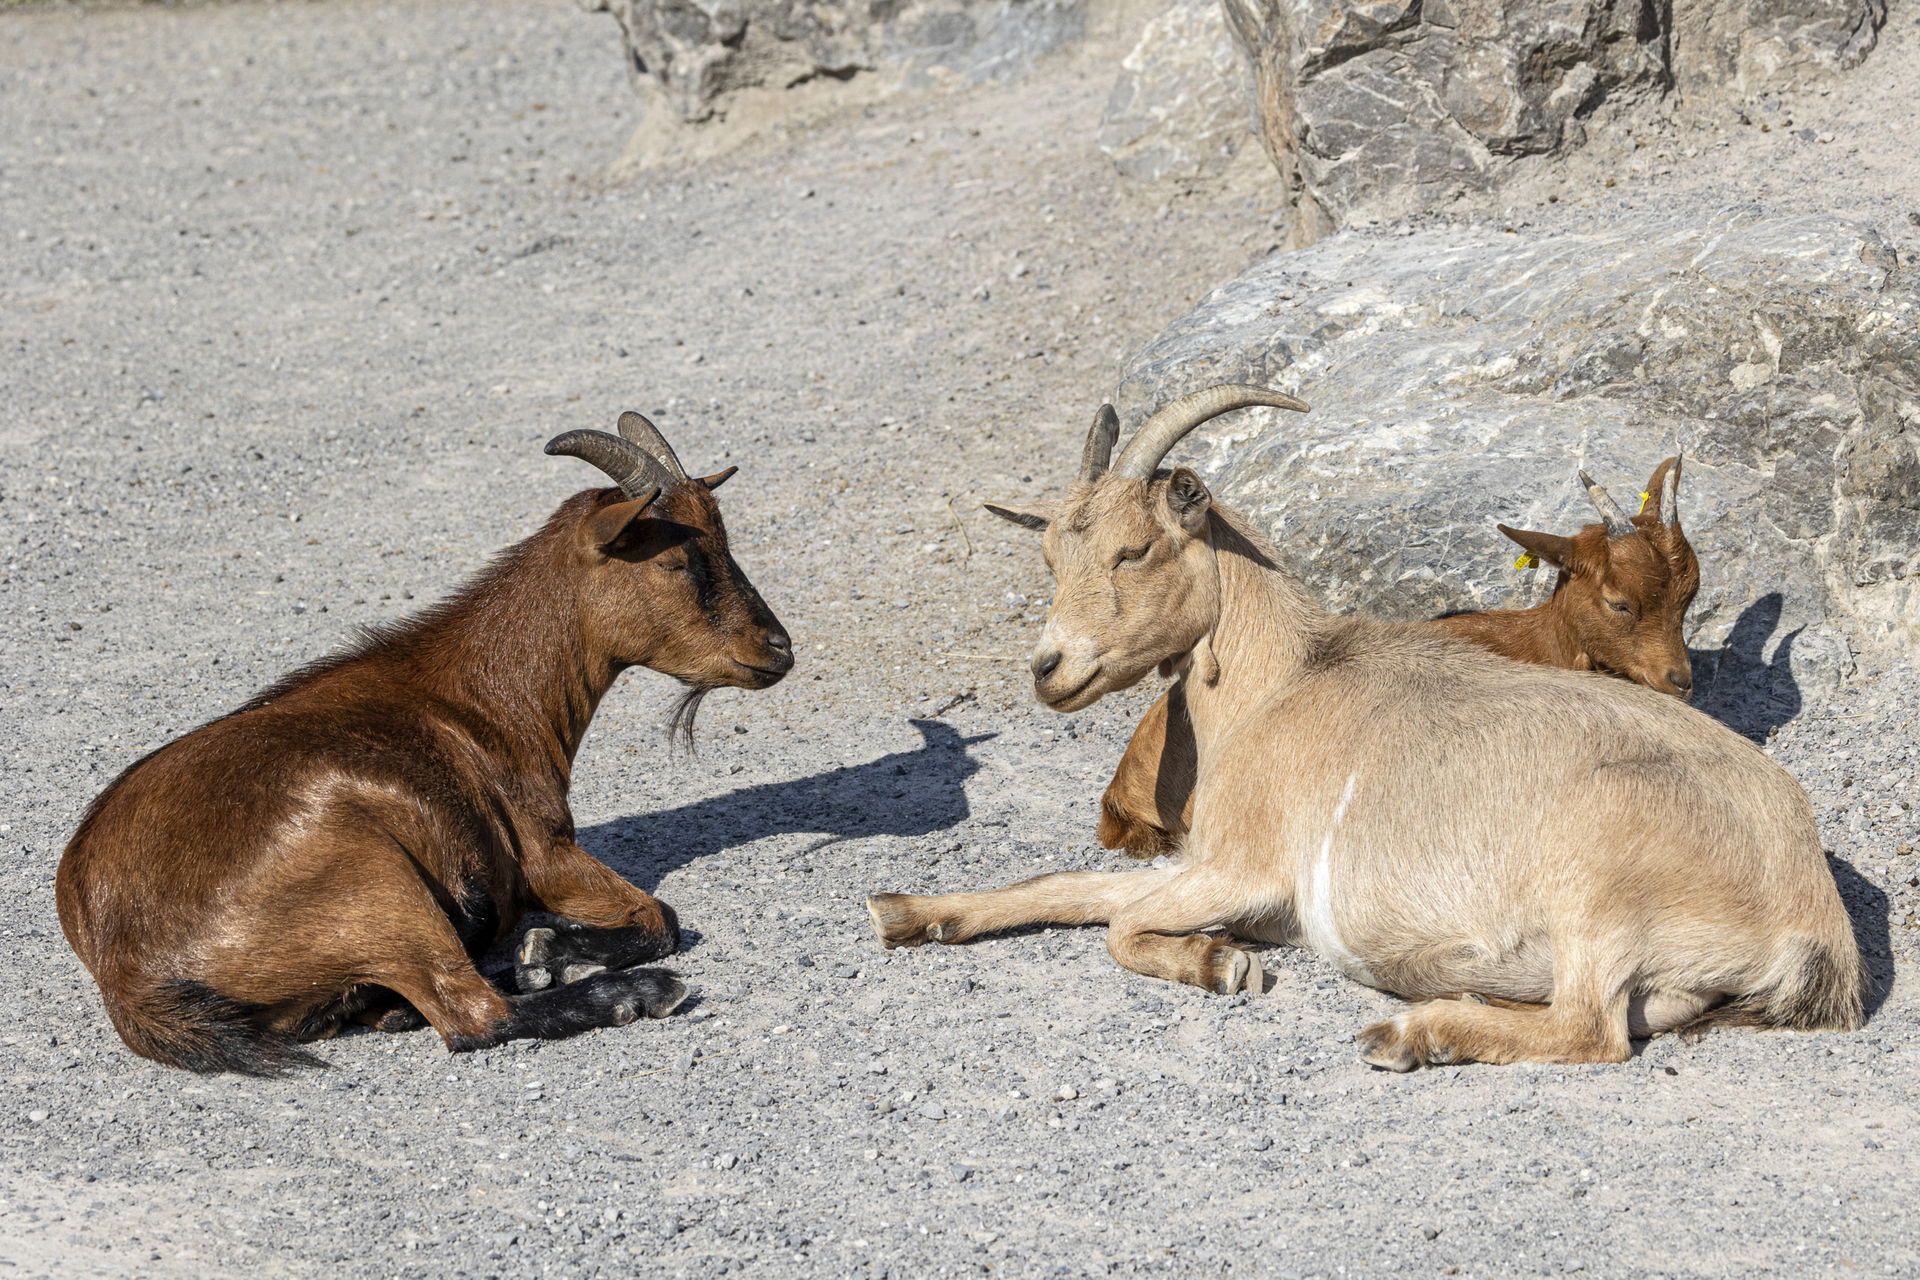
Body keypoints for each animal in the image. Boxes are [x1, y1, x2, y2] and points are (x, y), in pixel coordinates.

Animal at [57, 413, 792, 1074]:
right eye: (675, 559)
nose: (778, 648)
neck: (481, 699)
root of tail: (126, 966)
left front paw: (545, 952)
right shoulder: (544, 854)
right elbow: (659, 917)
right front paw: (550, 953)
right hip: (375, 884)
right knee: (470, 1015)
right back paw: (629, 992)